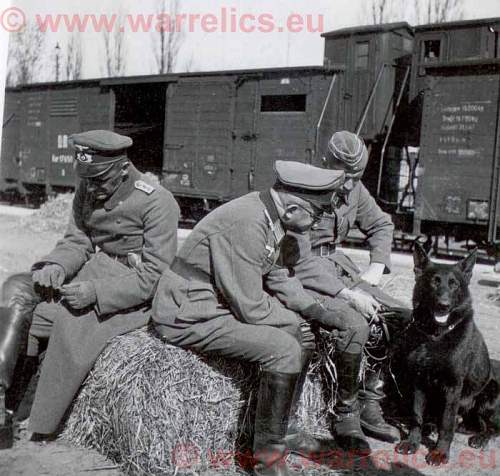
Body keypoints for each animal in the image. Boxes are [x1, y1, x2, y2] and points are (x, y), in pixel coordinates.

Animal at [394, 244, 500, 466]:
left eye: (454, 285)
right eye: (434, 282)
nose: (443, 305)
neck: (436, 336)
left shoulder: (453, 387)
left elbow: (447, 422)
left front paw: (440, 452)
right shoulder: (419, 383)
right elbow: (416, 415)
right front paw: (413, 442)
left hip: (491, 392)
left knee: (492, 427)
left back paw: (480, 437)